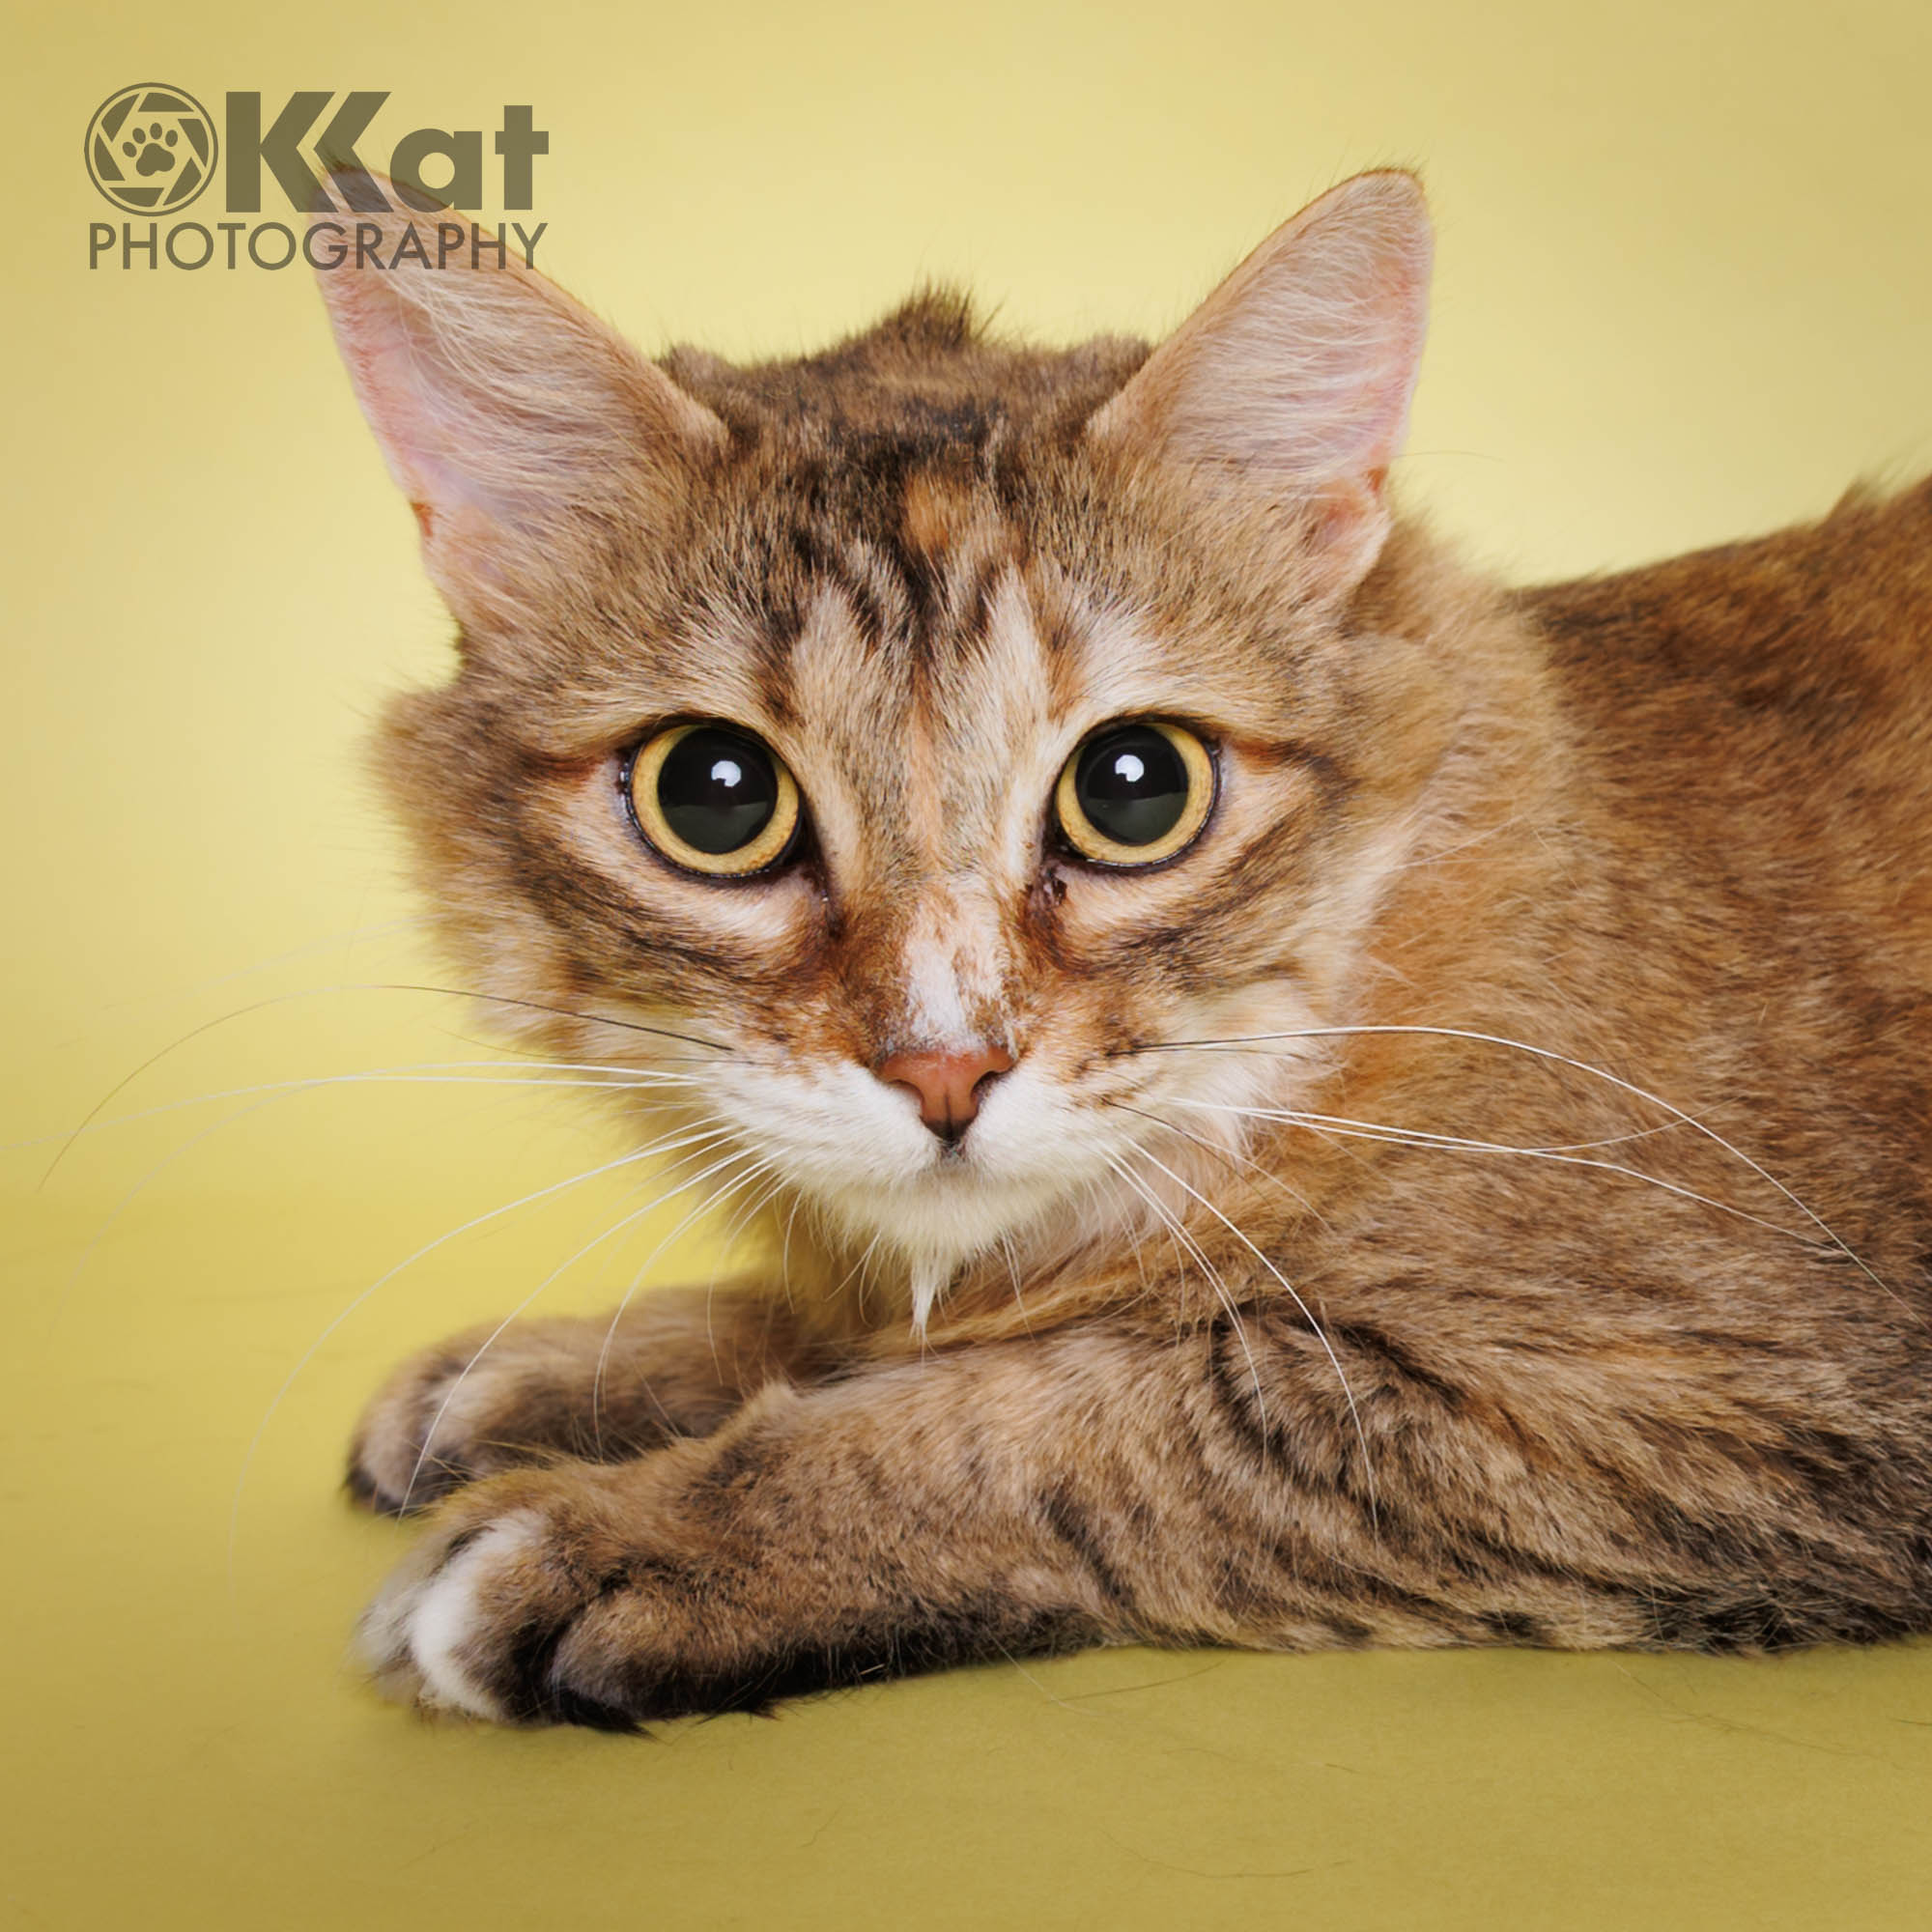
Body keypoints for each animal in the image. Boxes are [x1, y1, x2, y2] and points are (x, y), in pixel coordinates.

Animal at [313, 168, 1932, 1730]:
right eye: (716, 796)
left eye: (1134, 785)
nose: (947, 1071)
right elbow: (855, 1327)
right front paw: (564, 1365)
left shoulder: (1719, 1397)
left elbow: (1067, 1411)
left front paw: (641, 1532)